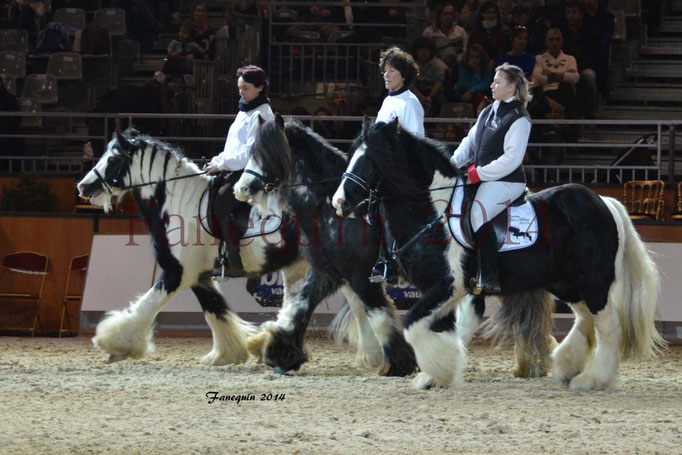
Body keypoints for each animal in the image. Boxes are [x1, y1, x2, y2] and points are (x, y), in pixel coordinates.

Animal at [75, 128, 312, 366]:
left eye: (112, 159)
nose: (82, 186)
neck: (181, 205)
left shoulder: (179, 272)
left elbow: (148, 303)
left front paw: (116, 344)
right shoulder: (200, 276)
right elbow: (215, 311)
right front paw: (224, 354)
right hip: (296, 267)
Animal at [231, 116, 420, 376]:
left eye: (266, 153)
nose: (241, 188)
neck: (331, 210)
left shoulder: (360, 275)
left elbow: (379, 316)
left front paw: (400, 363)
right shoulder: (327, 271)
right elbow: (300, 306)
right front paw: (280, 352)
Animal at [332, 118, 660, 392]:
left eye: (370, 159)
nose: (339, 202)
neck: (433, 212)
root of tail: (603, 201)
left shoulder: (447, 286)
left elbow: (413, 323)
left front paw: (439, 370)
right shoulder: (454, 293)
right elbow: (450, 329)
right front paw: (438, 373)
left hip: (593, 281)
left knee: (608, 325)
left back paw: (592, 379)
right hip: (566, 283)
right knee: (585, 320)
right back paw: (568, 366)